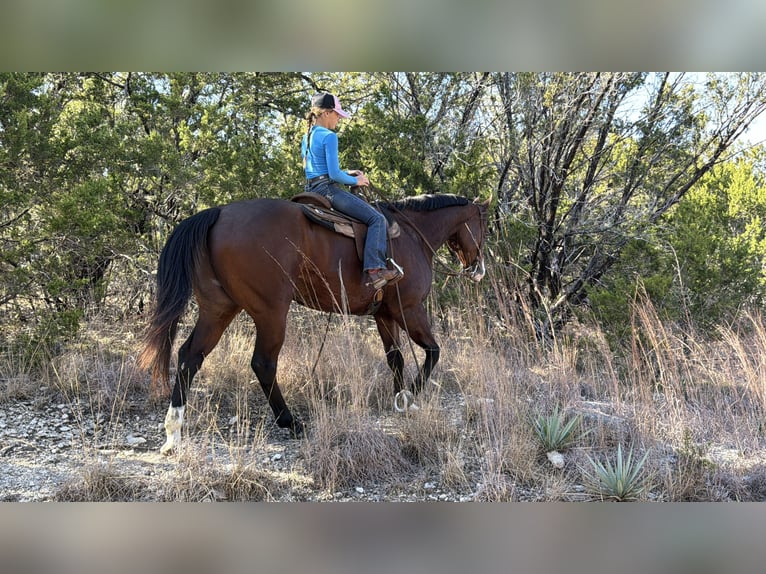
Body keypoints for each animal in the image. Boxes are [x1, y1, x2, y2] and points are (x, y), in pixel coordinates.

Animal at [138, 192, 490, 454]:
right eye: (483, 225)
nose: (479, 269)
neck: (412, 235)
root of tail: (220, 213)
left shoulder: (385, 315)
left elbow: (396, 359)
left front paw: (401, 398)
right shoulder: (411, 310)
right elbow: (433, 351)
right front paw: (411, 396)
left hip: (219, 309)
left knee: (189, 357)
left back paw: (173, 432)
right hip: (271, 312)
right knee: (263, 363)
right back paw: (290, 422)